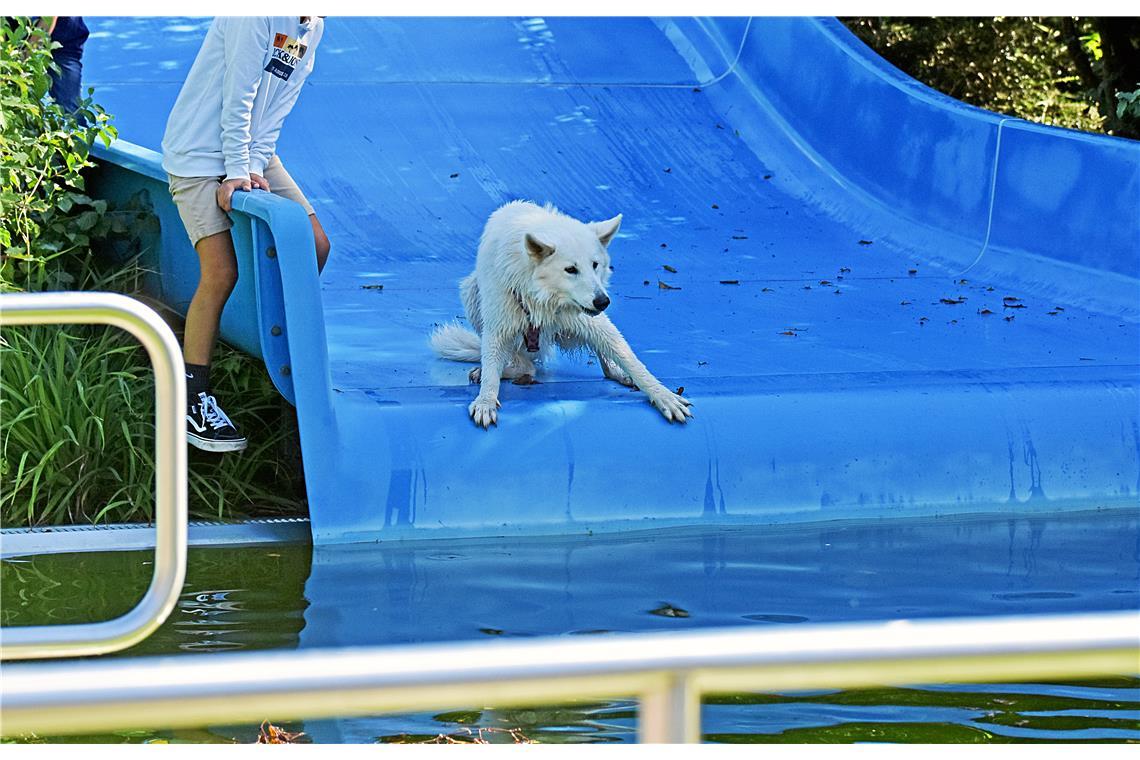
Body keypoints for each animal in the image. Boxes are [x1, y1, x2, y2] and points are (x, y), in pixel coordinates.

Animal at [428, 201, 688, 428]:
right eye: (571, 269)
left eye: (595, 265)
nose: (603, 302)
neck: (541, 295)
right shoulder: (498, 326)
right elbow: (492, 371)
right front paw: (485, 401)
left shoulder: (588, 317)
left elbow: (632, 361)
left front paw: (663, 395)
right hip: (471, 293)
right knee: (526, 367)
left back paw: (617, 372)